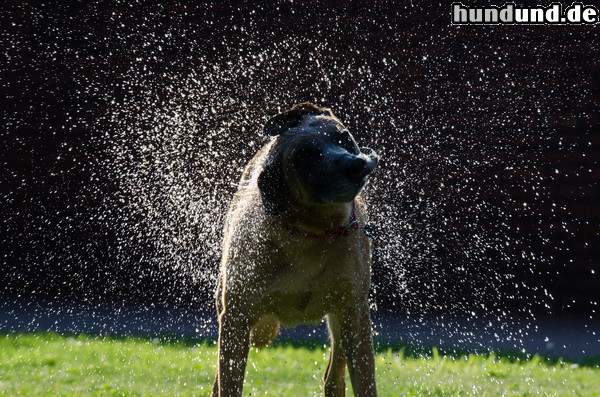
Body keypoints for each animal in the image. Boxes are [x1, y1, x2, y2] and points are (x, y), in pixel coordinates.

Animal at [213, 103, 378, 394]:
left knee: (333, 375)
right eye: (304, 157)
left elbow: (365, 383)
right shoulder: (235, 317)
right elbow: (228, 384)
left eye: (344, 137)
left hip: (344, 318)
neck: (313, 231)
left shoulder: (355, 314)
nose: (355, 164)